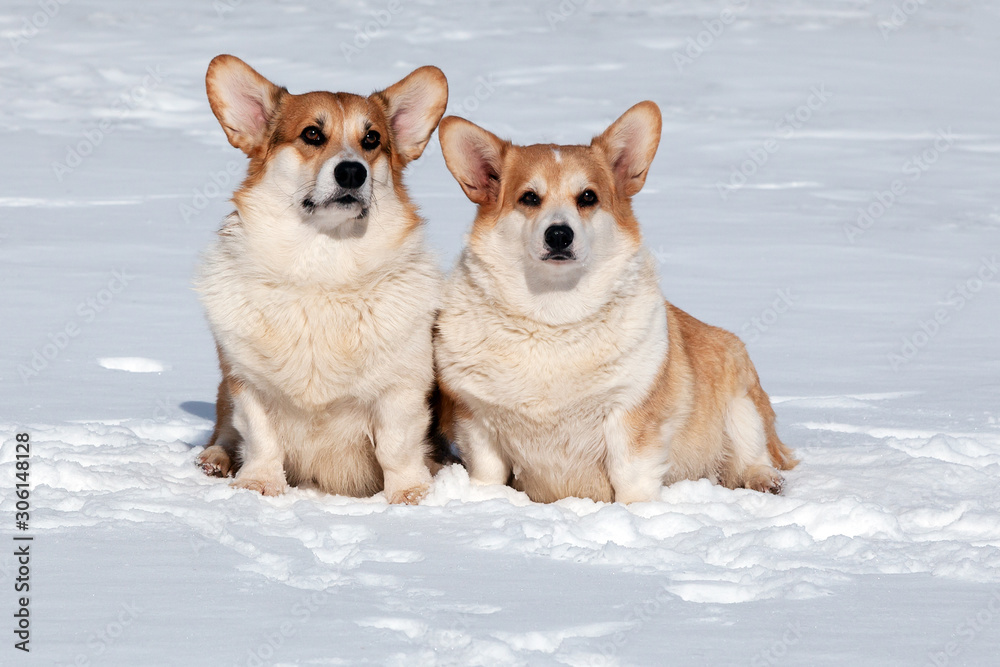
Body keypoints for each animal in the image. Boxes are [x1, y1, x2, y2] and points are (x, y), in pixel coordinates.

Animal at [195, 57, 446, 504]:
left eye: (372, 138)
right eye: (312, 133)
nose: (352, 172)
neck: (323, 264)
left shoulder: (401, 388)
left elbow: (397, 447)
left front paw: (410, 495)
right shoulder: (247, 384)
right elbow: (260, 438)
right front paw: (259, 484)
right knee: (224, 431)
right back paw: (215, 460)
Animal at [436, 102, 796, 504]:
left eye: (587, 197)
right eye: (529, 197)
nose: (559, 235)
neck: (552, 316)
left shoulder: (630, 417)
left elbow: (631, 478)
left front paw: (637, 511)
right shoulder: (477, 421)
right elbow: (488, 474)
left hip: (740, 401)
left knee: (754, 451)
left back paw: (763, 479)